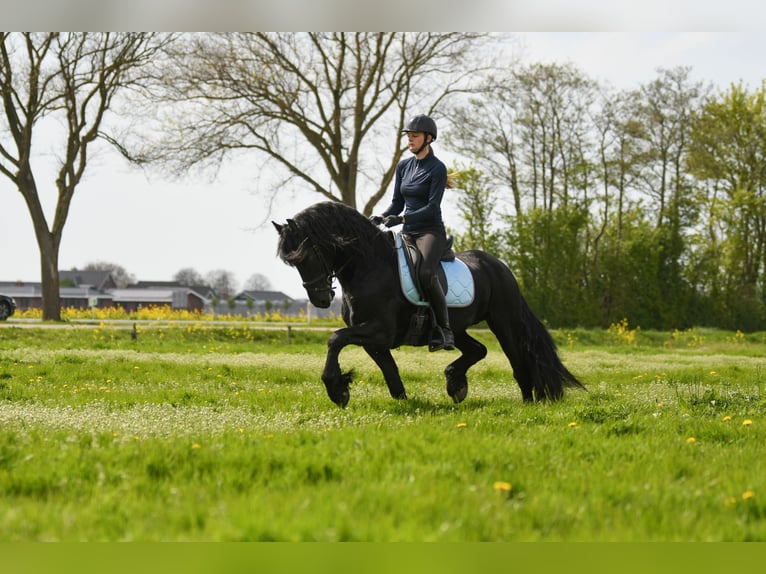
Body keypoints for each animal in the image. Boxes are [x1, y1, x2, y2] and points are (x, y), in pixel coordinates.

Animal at [273, 201, 585, 407]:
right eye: (293, 263)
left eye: (306, 255)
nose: (320, 299)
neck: (370, 267)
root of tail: (499, 266)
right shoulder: (374, 339)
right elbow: (390, 372)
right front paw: (402, 402)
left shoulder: (379, 330)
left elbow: (335, 339)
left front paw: (337, 390)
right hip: (457, 328)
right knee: (478, 350)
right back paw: (455, 383)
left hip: (503, 321)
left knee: (518, 359)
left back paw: (530, 401)